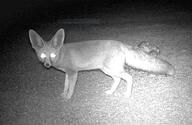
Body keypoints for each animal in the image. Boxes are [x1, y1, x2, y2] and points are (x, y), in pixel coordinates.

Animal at [28, 28, 176, 99]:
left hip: (113, 70)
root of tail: (120, 43)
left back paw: (127, 94)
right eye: (43, 55)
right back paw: (111, 92)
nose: (47, 65)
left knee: (129, 78)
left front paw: (68, 98)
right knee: (118, 80)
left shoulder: (73, 73)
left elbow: (71, 88)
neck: (62, 54)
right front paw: (64, 95)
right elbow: (65, 86)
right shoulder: (67, 74)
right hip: (108, 70)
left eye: (52, 55)